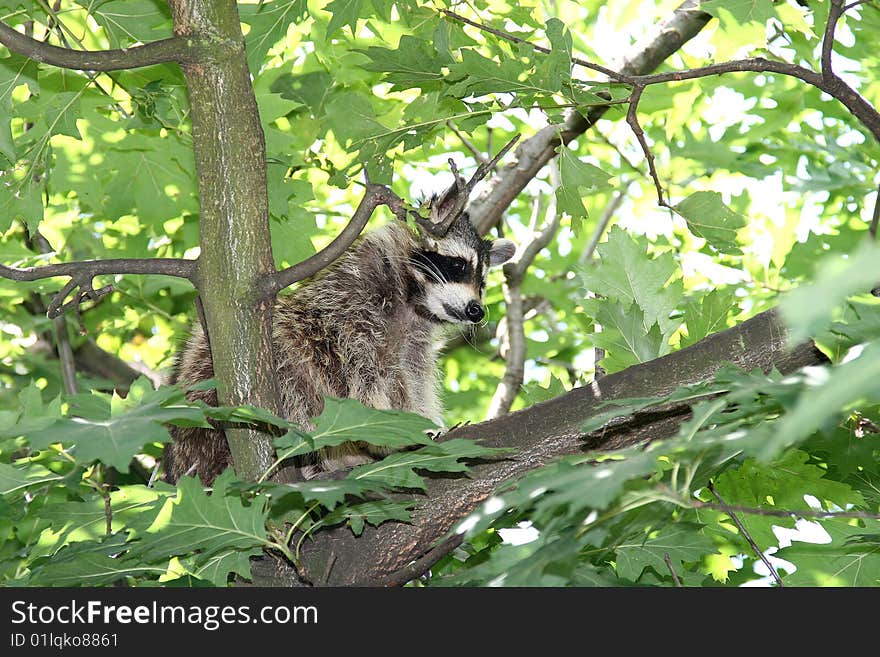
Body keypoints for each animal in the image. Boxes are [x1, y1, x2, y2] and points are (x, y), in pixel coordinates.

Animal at [163, 202, 516, 484]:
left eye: (483, 282)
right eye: (458, 264)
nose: (477, 310)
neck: (411, 300)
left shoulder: (412, 345)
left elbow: (411, 380)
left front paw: (422, 418)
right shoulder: (348, 307)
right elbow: (360, 376)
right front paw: (385, 430)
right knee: (291, 363)